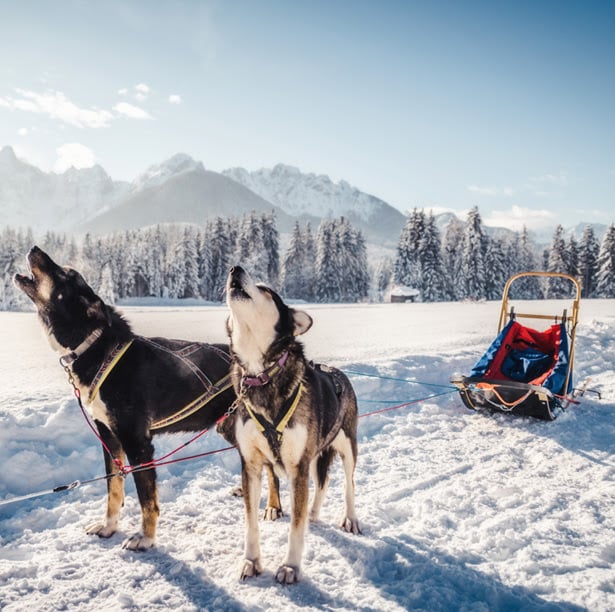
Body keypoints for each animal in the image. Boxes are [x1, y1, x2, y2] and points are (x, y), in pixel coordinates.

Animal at [12, 246, 238, 552]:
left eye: (65, 273)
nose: (35, 249)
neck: (95, 347)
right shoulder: (109, 437)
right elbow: (114, 490)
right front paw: (109, 527)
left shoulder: (137, 442)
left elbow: (147, 499)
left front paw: (146, 538)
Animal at [226, 264, 360, 584]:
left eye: (266, 289)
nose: (235, 268)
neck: (262, 375)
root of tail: (338, 372)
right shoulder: (251, 466)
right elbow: (251, 523)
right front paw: (251, 561)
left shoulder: (298, 467)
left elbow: (295, 528)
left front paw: (290, 566)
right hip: (313, 456)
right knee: (322, 484)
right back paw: (314, 513)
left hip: (347, 447)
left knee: (348, 485)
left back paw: (350, 518)